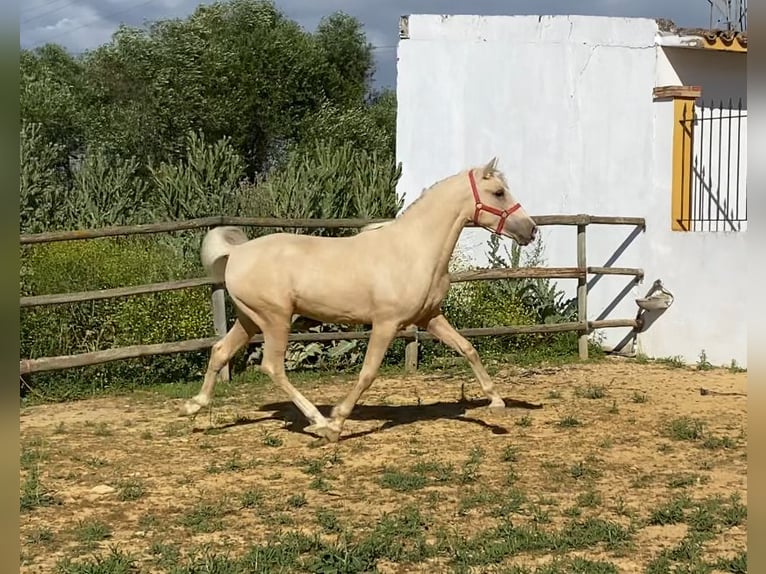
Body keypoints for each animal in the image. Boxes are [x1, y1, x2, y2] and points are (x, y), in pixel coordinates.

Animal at [182, 160, 536, 444]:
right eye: (499, 192)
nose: (530, 230)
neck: (415, 249)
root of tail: (237, 252)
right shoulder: (386, 323)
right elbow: (368, 373)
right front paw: (338, 421)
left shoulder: (429, 317)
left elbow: (467, 348)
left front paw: (496, 403)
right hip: (275, 319)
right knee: (272, 366)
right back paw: (319, 422)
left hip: (250, 319)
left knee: (220, 350)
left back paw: (193, 407)